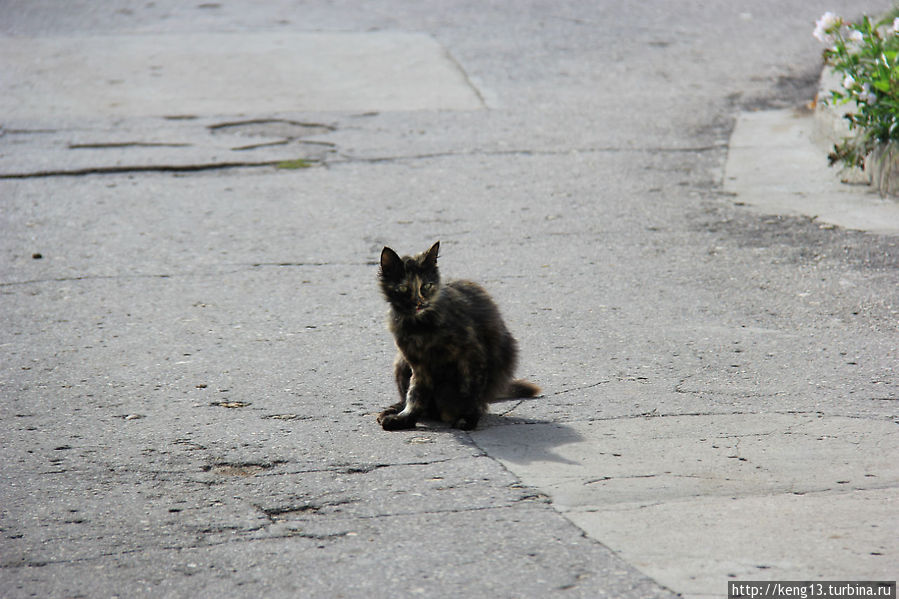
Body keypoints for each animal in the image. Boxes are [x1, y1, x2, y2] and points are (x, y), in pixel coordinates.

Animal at [374, 241, 536, 434]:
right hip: (400, 362)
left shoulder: (471, 354)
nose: (419, 303)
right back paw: (394, 411)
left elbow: (470, 391)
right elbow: (415, 394)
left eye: (426, 286)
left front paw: (468, 418)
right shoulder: (418, 364)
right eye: (404, 288)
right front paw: (406, 418)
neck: (419, 326)